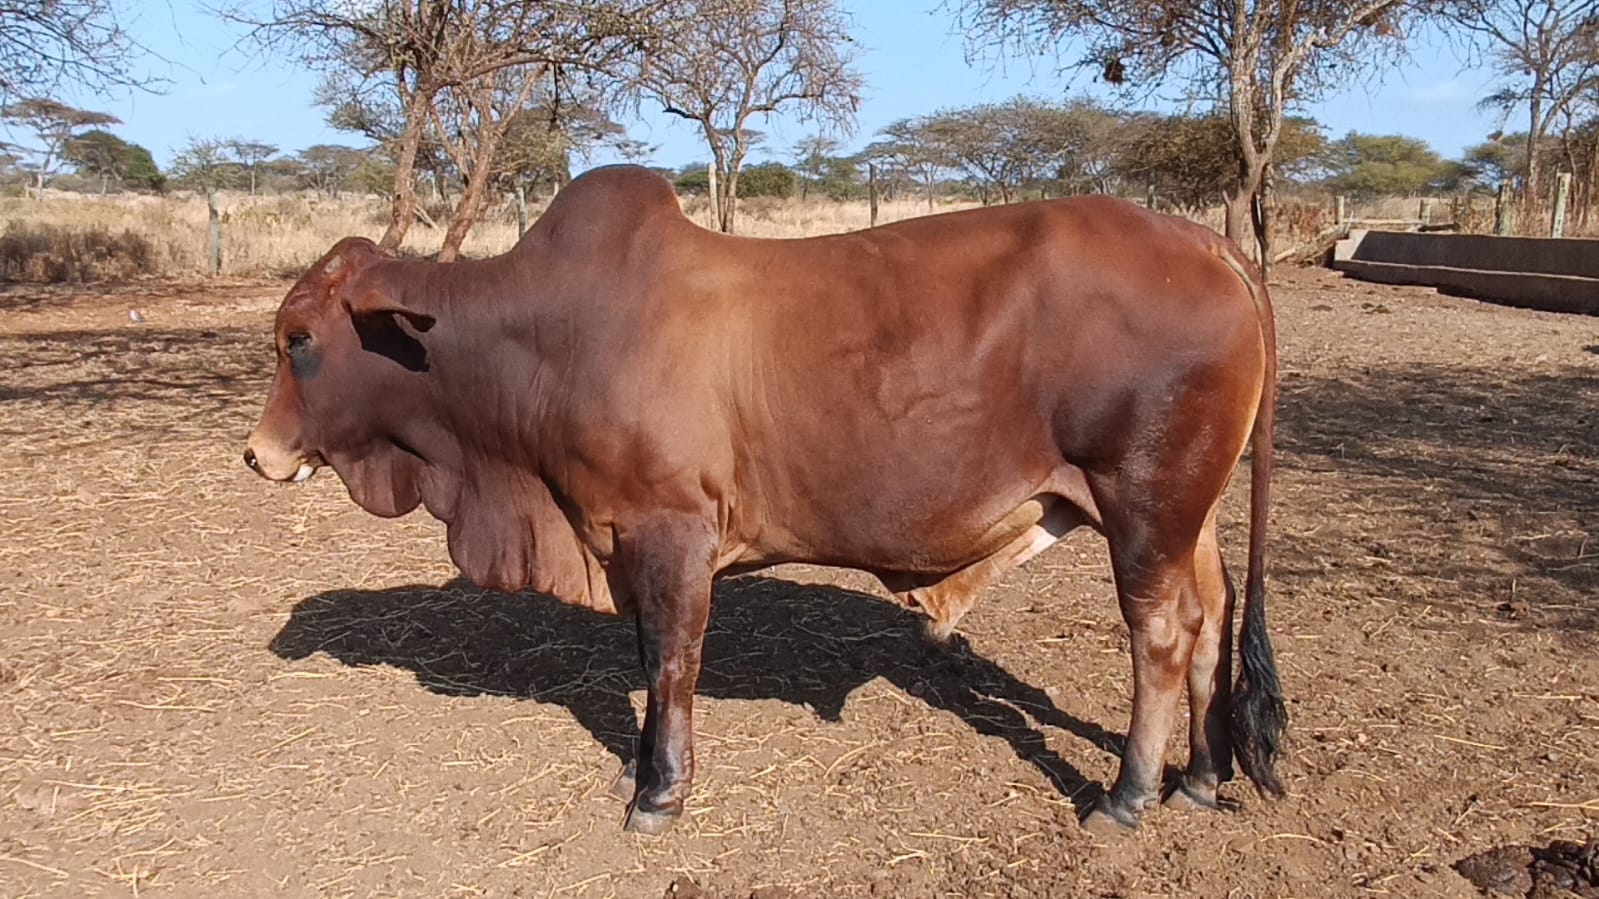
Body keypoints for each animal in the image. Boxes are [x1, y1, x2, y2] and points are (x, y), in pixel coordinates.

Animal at [244, 164, 1285, 836]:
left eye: (300, 339)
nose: (257, 454)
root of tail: (1206, 243)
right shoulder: (631, 537)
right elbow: (648, 658)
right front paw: (641, 767)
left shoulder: (671, 530)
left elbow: (669, 661)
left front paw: (658, 794)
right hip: (1184, 514)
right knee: (1210, 613)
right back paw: (1199, 777)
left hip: (1142, 503)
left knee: (1160, 634)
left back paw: (1127, 795)